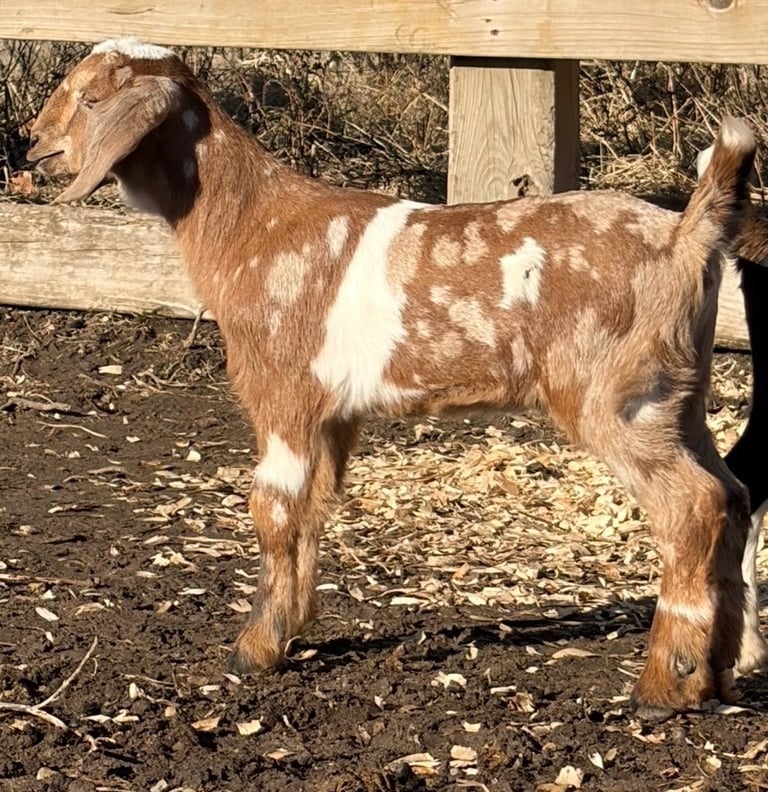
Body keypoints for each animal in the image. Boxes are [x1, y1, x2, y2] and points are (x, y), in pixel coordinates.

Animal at [27, 38, 756, 720]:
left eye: (90, 99)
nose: (34, 147)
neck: (251, 225)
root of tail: (687, 235)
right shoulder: (334, 414)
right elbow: (315, 507)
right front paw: (292, 628)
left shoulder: (284, 395)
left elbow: (272, 508)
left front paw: (253, 649)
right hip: (680, 397)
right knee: (735, 494)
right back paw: (720, 669)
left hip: (619, 398)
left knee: (693, 507)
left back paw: (667, 683)